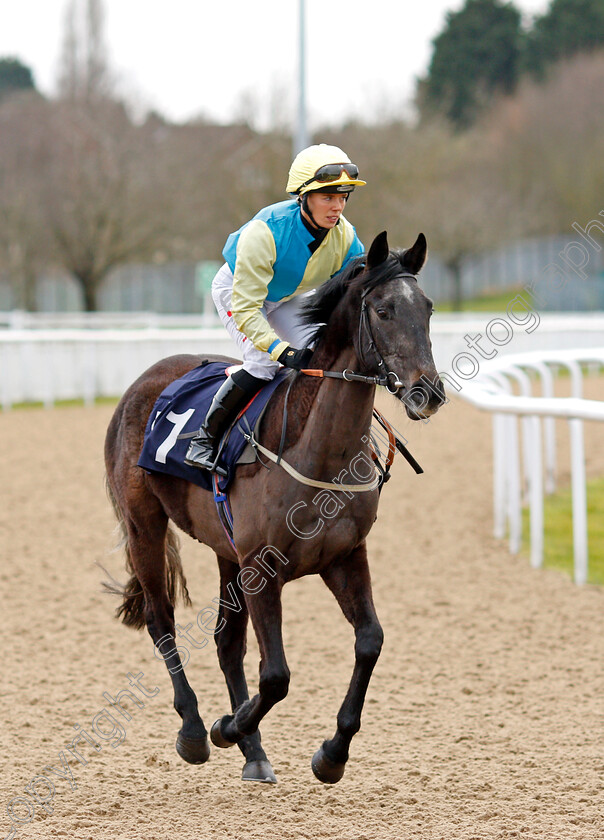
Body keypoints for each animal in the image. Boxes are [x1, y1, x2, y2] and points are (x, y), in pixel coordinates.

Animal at [104, 228, 444, 780]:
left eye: (429, 308)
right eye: (385, 310)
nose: (427, 392)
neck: (320, 454)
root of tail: (148, 377)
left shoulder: (344, 556)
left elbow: (370, 641)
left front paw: (331, 753)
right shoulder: (261, 569)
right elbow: (277, 675)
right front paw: (226, 727)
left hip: (226, 550)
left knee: (226, 642)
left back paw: (254, 753)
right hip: (144, 526)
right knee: (161, 622)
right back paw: (195, 730)